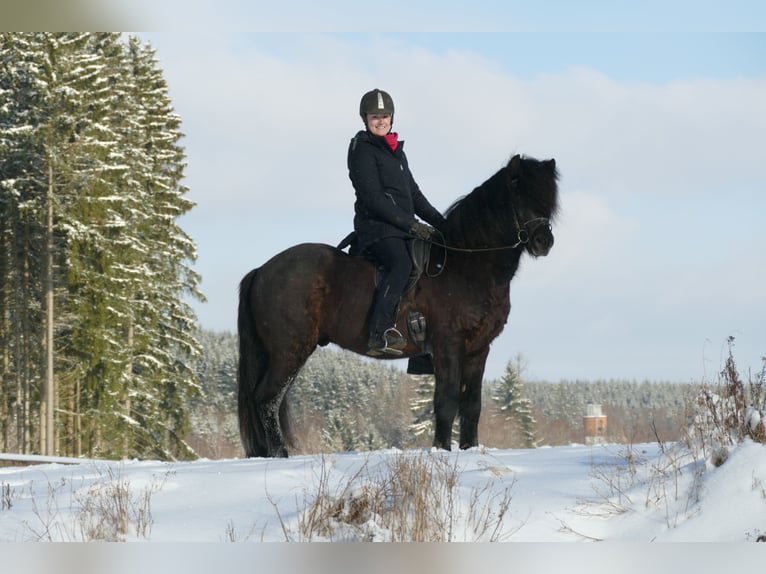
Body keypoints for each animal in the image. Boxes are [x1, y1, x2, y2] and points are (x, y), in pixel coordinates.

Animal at [237, 154, 560, 460]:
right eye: (519, 193)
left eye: (548, 199)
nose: (544, 242)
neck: (465, 266)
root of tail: (262, 270)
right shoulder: (448, 345)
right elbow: (446, 402)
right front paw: (441, 451)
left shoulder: (478, 349)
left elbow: (472, 406)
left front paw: (470, 449)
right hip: (289, 350)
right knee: (267, 398)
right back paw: (280, 455)